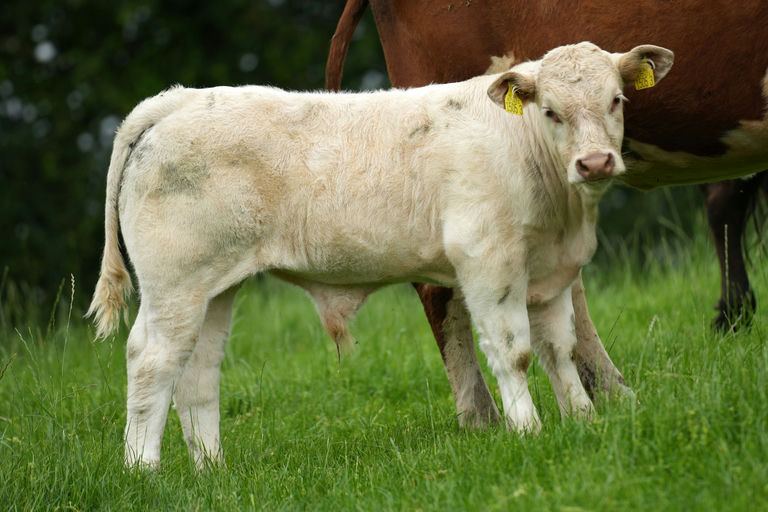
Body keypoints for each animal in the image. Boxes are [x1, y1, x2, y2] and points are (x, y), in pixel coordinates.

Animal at [88, 42, 673, 467]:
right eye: (551, 111)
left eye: (616, 100)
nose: (594, 162)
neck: (564, 215)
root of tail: (179, 99)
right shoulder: (487, 260)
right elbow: (515, 352)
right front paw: (528, 431)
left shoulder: (552, 273)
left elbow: (560, 349)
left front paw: (582, 422)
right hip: (174, 285)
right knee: (151, 362)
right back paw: (144, 471)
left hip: (215, 287)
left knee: (198, 373)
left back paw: (212, 470)